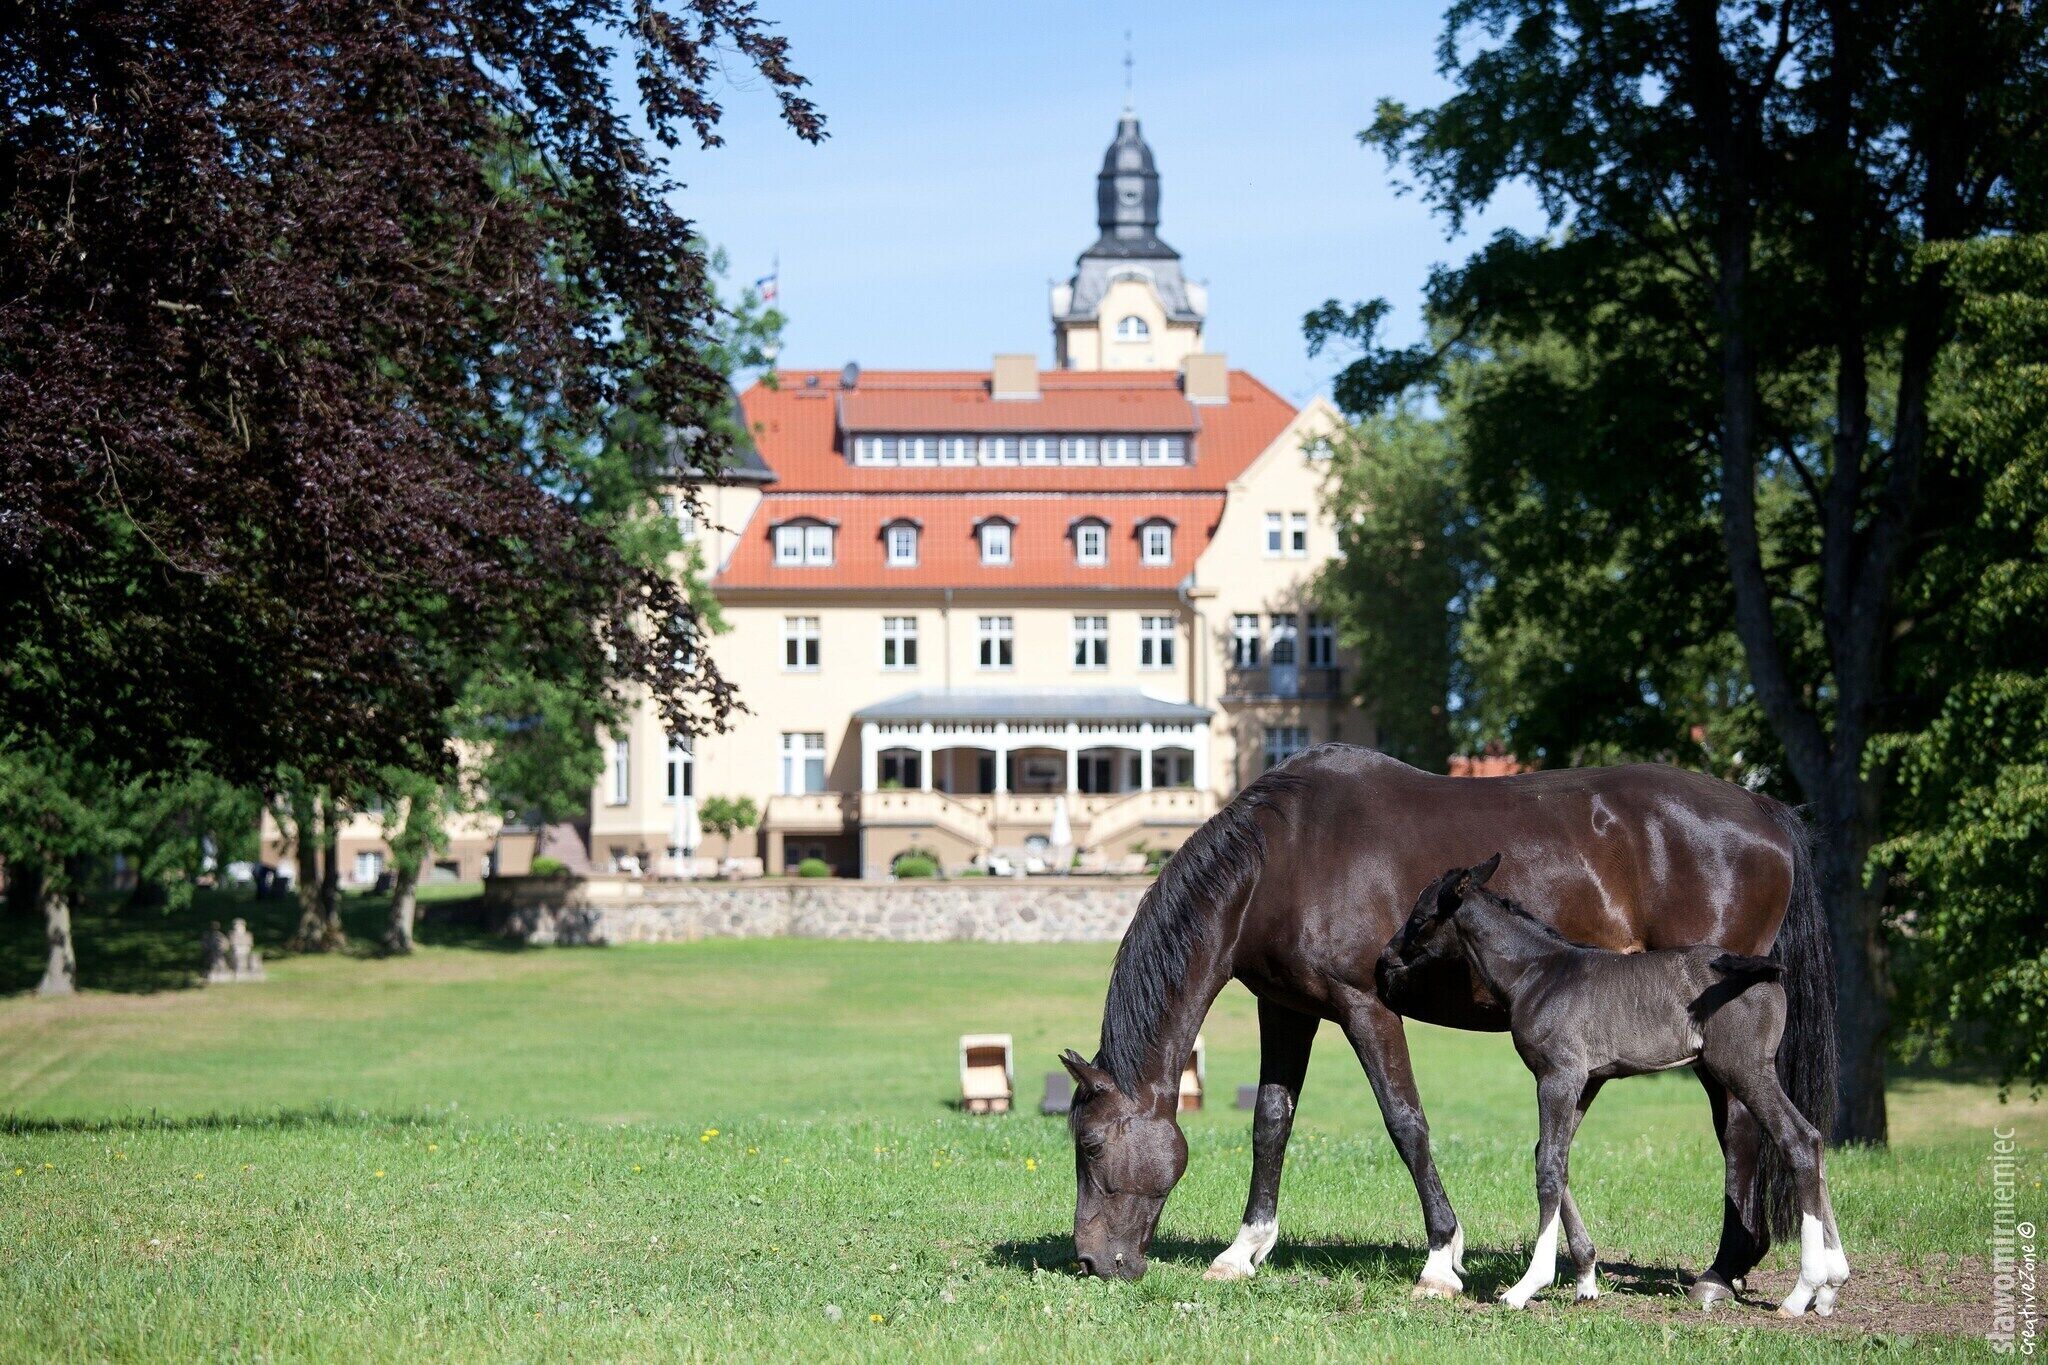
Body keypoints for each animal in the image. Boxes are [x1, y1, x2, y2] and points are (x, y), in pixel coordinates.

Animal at [1382, 855, 1850, 1314]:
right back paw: (1832, 1284)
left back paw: (1803, 1290)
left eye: (1419, 918)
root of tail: (1764, 969)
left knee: (1798, 1140)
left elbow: (1548, 1166)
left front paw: (1527, 1286)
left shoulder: (1558, 1076)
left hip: (1744, 1067)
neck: (1536, 973)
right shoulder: (1587, 1082)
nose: (1386, 957)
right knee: (1814, 1139)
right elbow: (1554, 1157)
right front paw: (1586, 1281)